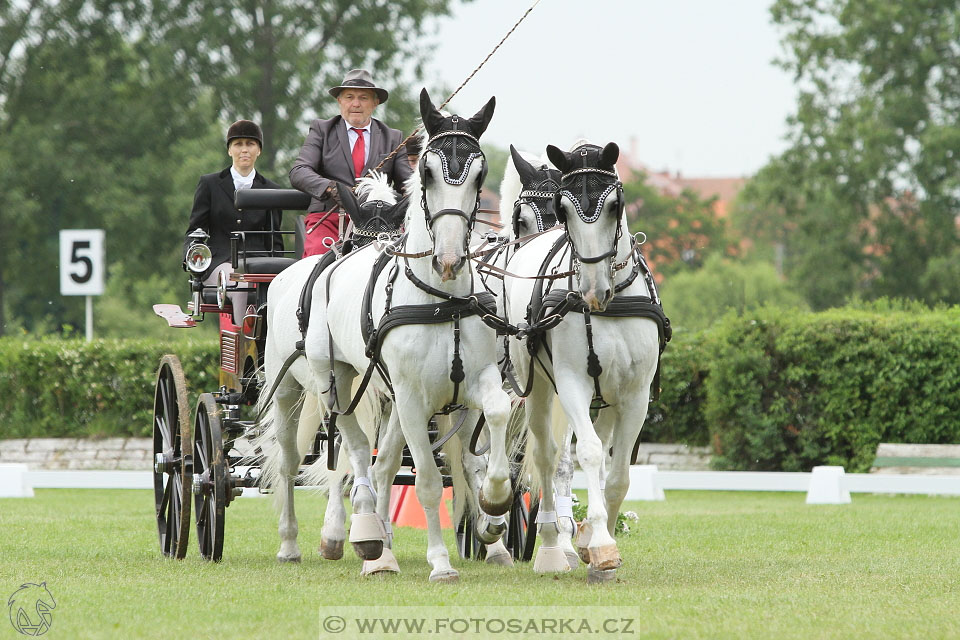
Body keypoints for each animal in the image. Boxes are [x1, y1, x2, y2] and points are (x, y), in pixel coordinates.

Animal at [255, 90, 510, 584]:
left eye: (481, 174)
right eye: (426, 172)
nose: (449, 259)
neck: (441, 298)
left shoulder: (475, 382)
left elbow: (493, 424)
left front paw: (494, 507)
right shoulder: (410, 396)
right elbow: (426, 480)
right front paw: (440, 563)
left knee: (376, 458)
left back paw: (377, 543)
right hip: (314, 383)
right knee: (317, 454)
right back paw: (313, 540)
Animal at [502, 140, 668, 580]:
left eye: (615, 205)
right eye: (566, 209)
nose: (594, 291)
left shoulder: (635, 395)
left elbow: (619, 473)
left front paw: (597, 542)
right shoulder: (572, 384)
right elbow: (588, 453)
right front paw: (601, 543)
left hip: (606, 397)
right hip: (538, 389)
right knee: (545, 456)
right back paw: (548, 544)